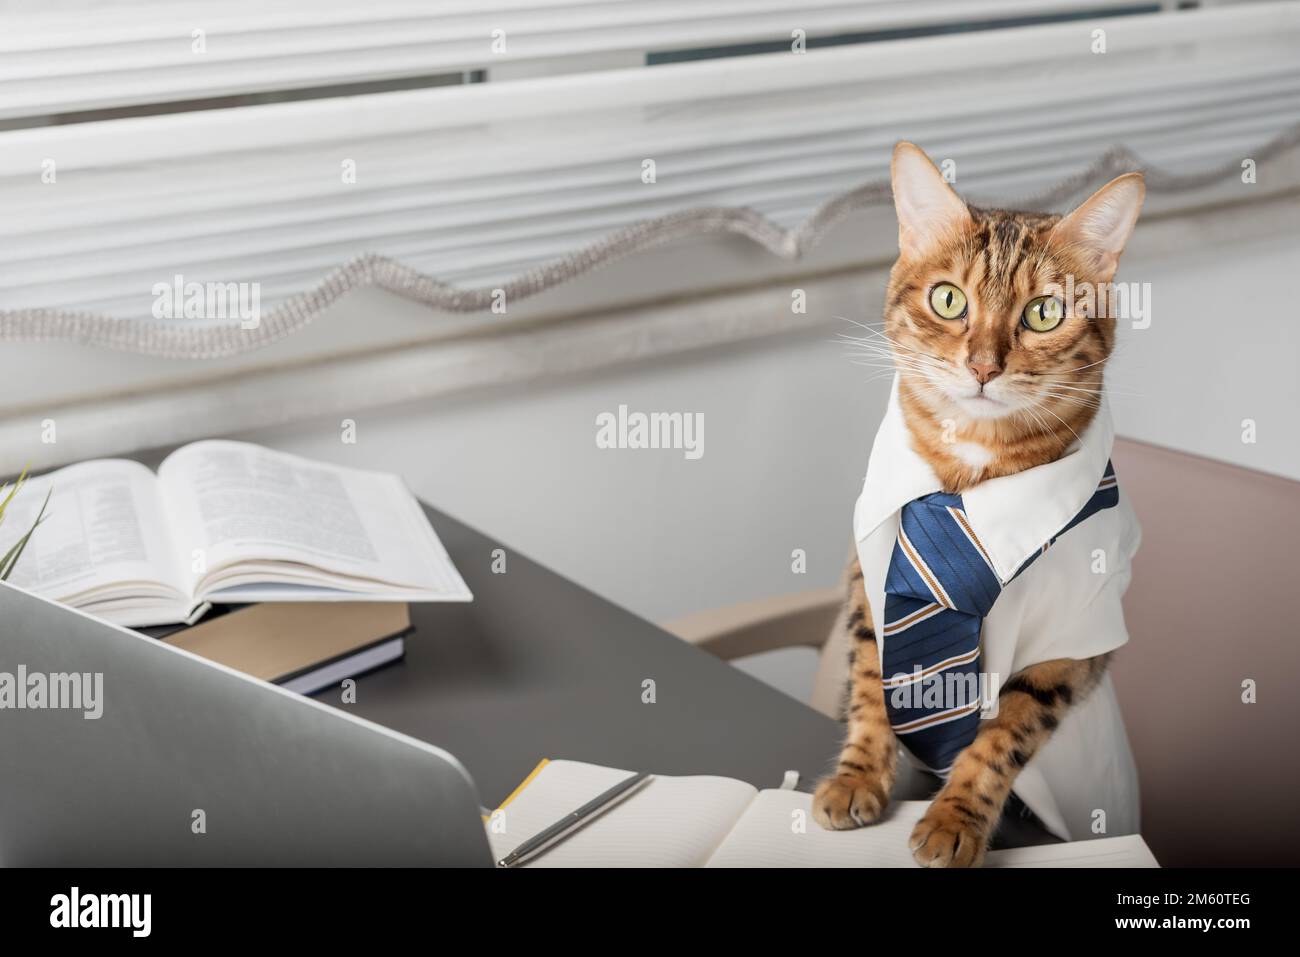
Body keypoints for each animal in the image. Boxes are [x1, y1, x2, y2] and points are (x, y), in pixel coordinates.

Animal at [816, 141, 1144, 868]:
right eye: (948, 299)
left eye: (1044, 313)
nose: (983, 366)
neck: (968, 472)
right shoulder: (867, 582)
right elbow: (872, 685)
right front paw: (858, 776)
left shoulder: (1073, 641)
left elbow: (1001, 738)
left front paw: (955, 816)